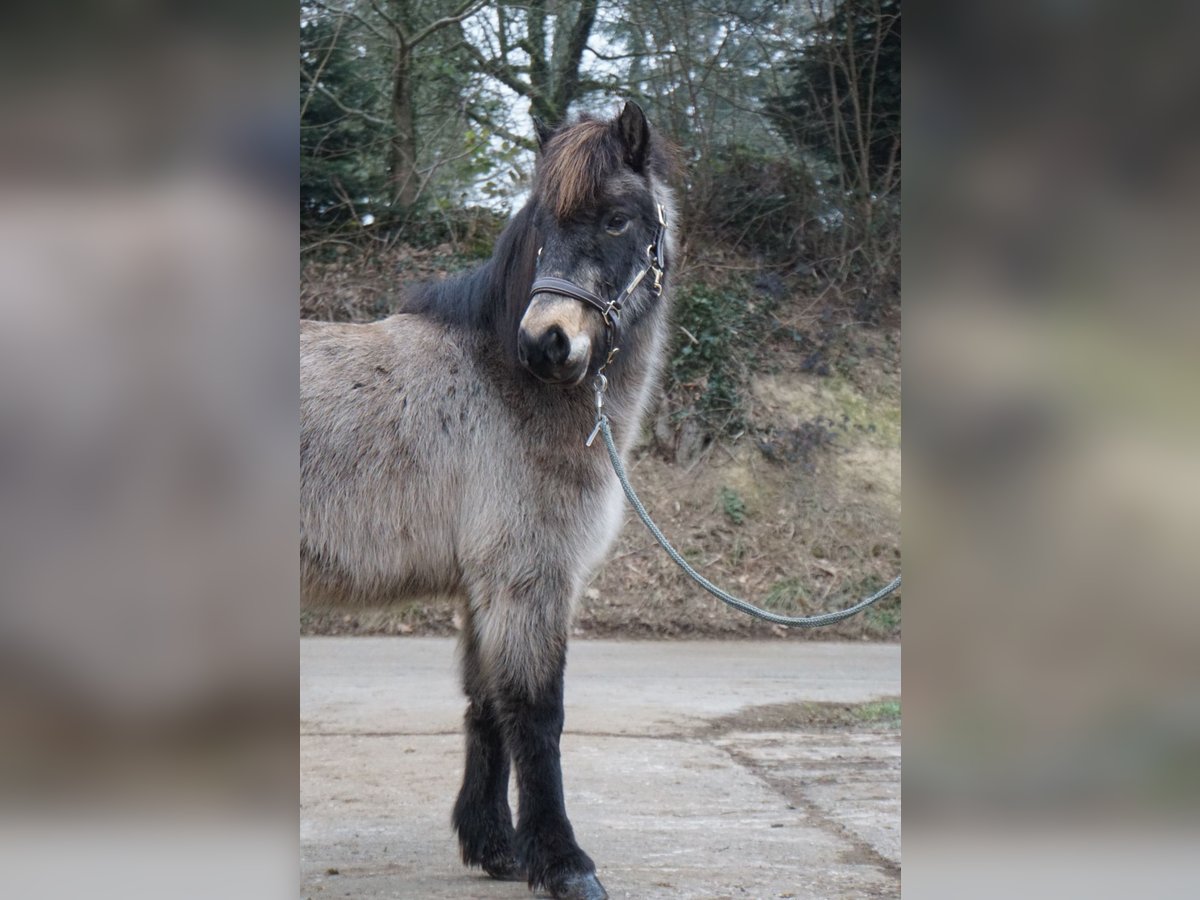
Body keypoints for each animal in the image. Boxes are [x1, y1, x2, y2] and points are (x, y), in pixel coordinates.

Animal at [298, 102, 676, 897]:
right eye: (543, 223)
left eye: (618, 219)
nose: (548, 343)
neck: (505, 379)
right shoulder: (528, 579)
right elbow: (535, 712)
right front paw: (563, 863)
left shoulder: (487, 588)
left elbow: (489, 707)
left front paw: (497, 848)